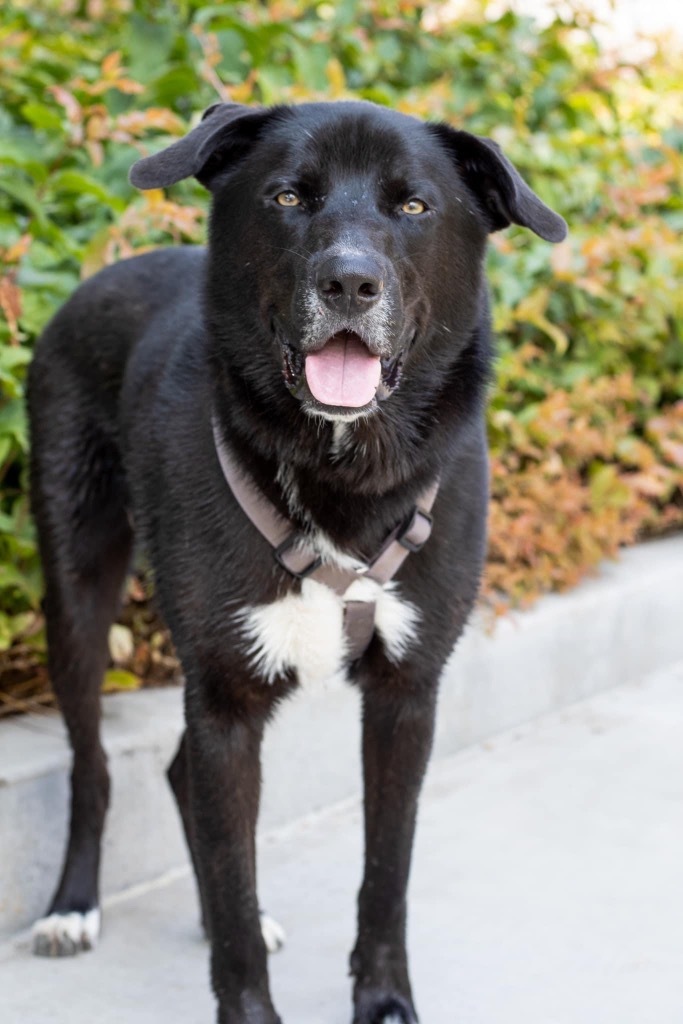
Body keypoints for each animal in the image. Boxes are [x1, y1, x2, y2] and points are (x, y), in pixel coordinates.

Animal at [28, 97, 565, 1024]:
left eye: (412, 205)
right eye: (287, 197)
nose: (349, 284)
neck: (343, 471)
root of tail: (95, 280)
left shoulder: (407, 694)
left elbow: (386, 871)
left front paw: (383, 1001)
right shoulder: (226, 698)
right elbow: (237, 894)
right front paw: (246, 999)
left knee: (178, 775)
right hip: (77, 591)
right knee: (93, 764)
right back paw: (72, 907)